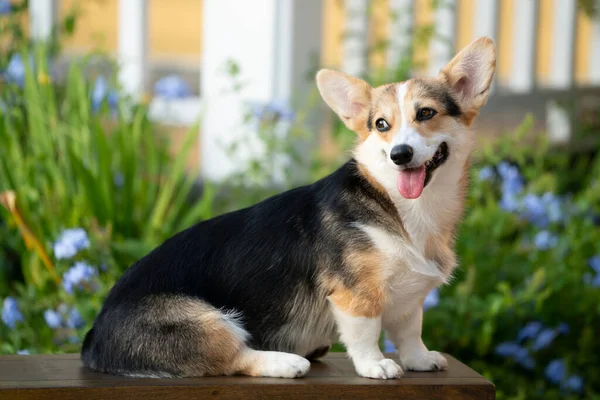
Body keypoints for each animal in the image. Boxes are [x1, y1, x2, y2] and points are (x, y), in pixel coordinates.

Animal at [83, 36, 496, 378]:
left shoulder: (410, 299)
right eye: (381, 125)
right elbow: (366, 332)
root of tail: (92, 340)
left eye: (426, 113)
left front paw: (419, 359)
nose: (400, 154)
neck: (404, 209)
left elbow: (411, 332)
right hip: (205, 321)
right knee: (232, 357)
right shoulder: (354, 295)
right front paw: (375, 365)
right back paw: (285, 362)